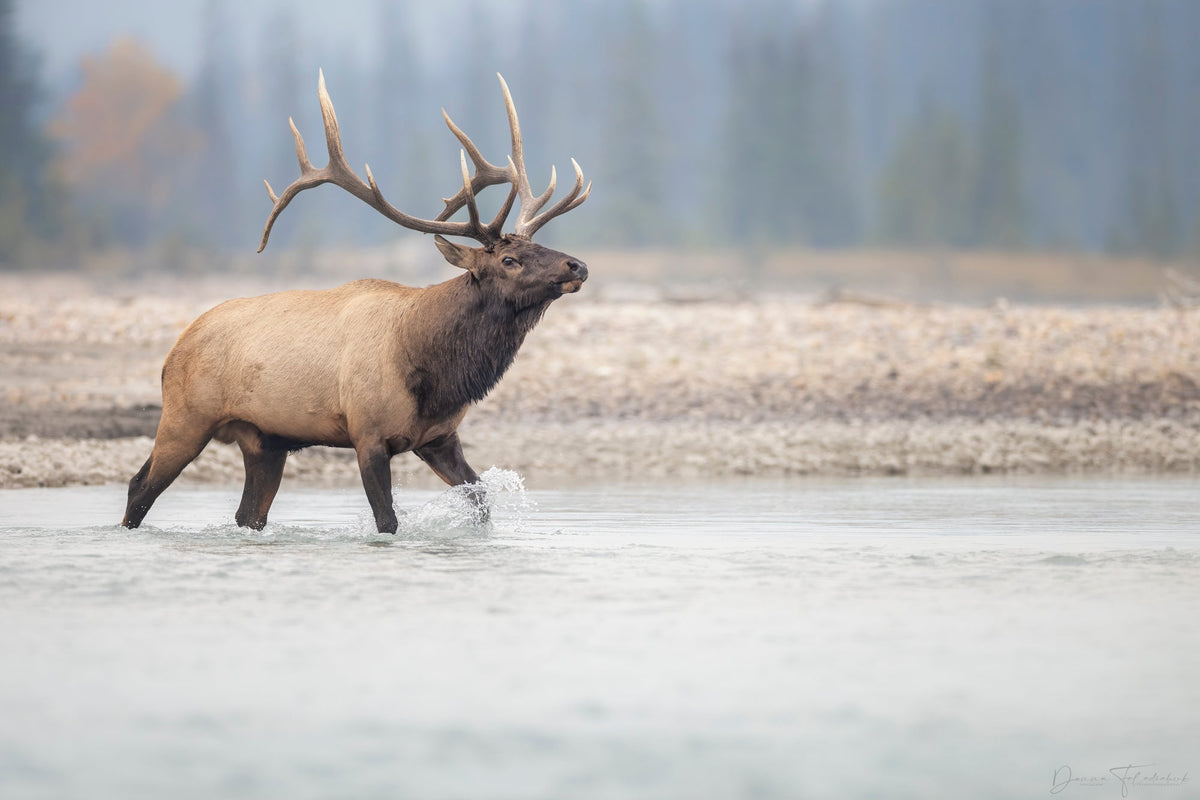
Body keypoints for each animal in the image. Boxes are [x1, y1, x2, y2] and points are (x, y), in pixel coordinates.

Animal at [121, 70, 590, 533]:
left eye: (539, 245)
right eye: (509, 260)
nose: (577, 265)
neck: (433, 370)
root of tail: (173, 351)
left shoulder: (439, 437)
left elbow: (480, 500)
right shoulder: (368, 435)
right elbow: (387, 522)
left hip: (264, 441)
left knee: (248, 515)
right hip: (185, 418)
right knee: (139, 485)